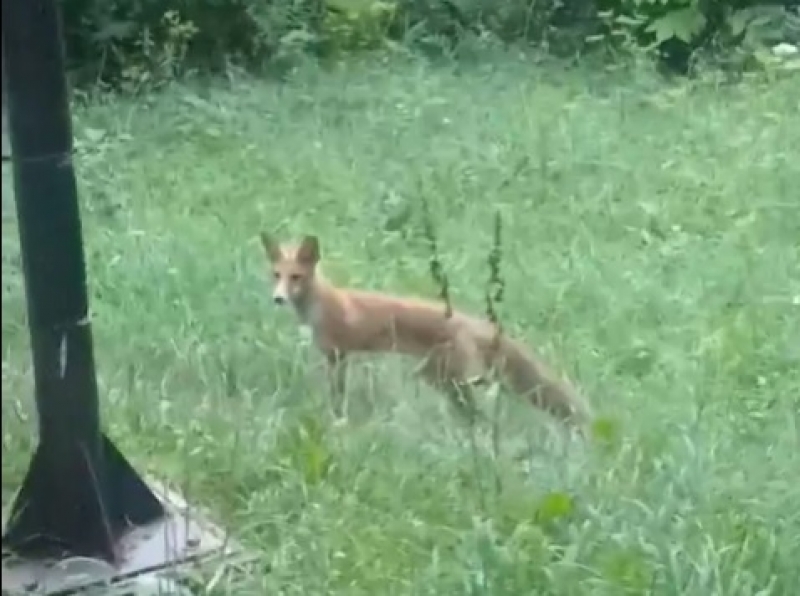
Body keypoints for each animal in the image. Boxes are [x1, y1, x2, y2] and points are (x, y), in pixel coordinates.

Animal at [260, 230, 592, 430]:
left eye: (295, 277)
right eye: (277, 275)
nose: (277, 299)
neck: (322, 304)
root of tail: (474, 321)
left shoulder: (339, 356)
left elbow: (337, 398)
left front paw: (337, 422)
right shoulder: (338, 357)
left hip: (449, 380)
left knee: (480, 416)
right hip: (443, 380)